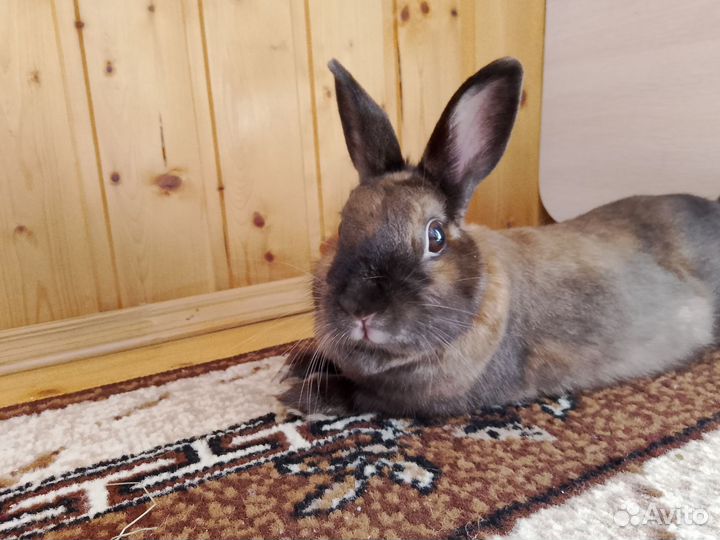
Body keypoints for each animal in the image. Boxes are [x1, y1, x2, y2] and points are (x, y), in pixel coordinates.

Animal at [280, 57, 720, 418]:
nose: (361, 308)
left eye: (435, 237)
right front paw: (294, 365)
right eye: (343, 224)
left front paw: (300, 393)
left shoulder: (421, 400)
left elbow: (361, 397)